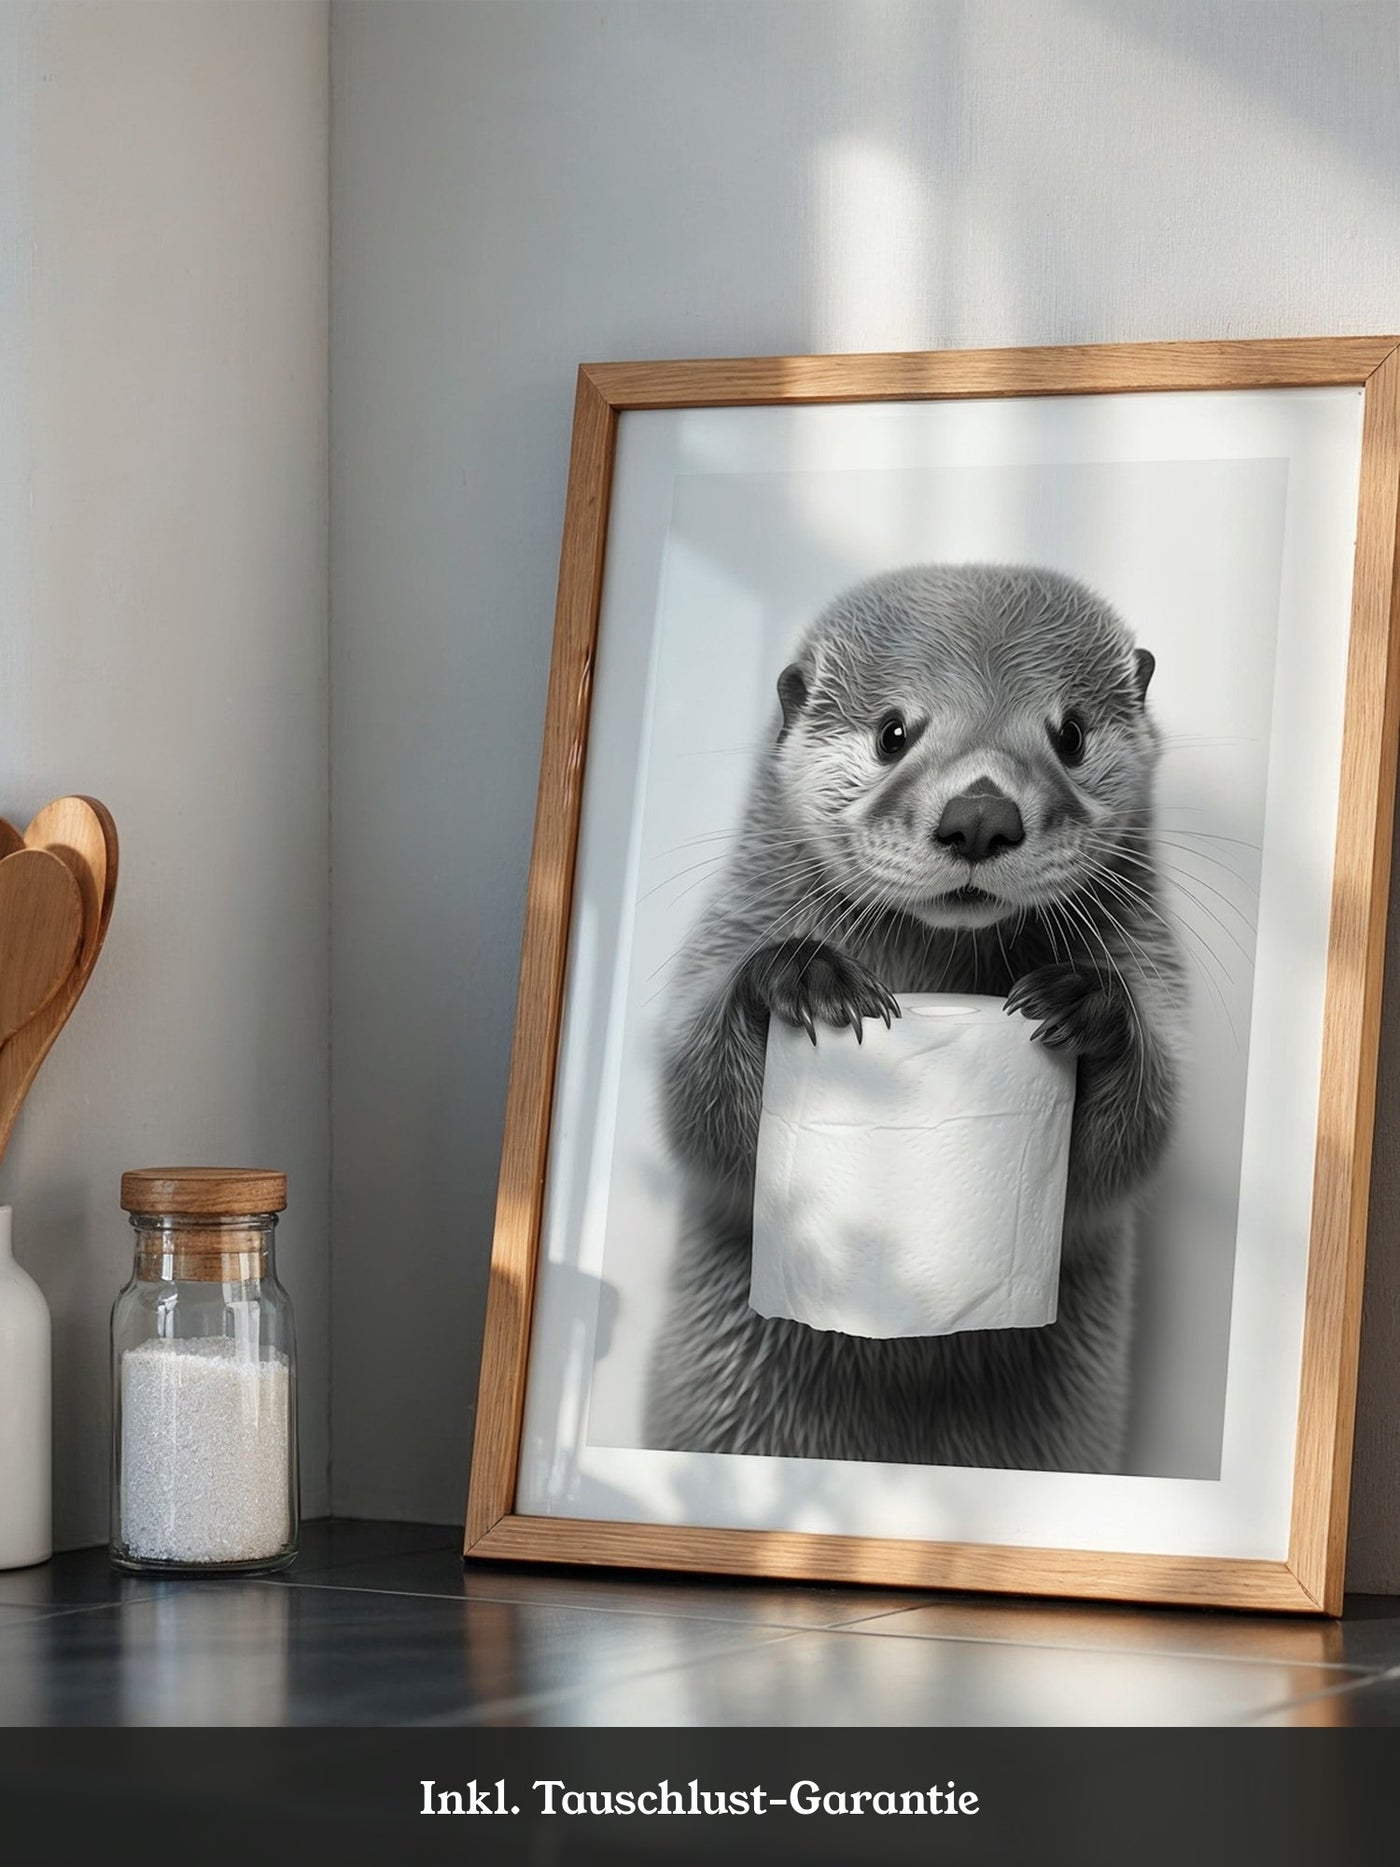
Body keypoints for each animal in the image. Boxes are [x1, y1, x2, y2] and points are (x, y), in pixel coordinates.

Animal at [644, 563, 1186, 1473]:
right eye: (892, 732)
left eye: (1070, 734)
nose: (980, 815)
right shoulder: (736, 920)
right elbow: (696, 1114)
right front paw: (799, 977)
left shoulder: (1151, 957)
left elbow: (1135, 1146)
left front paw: (1089, 1003)